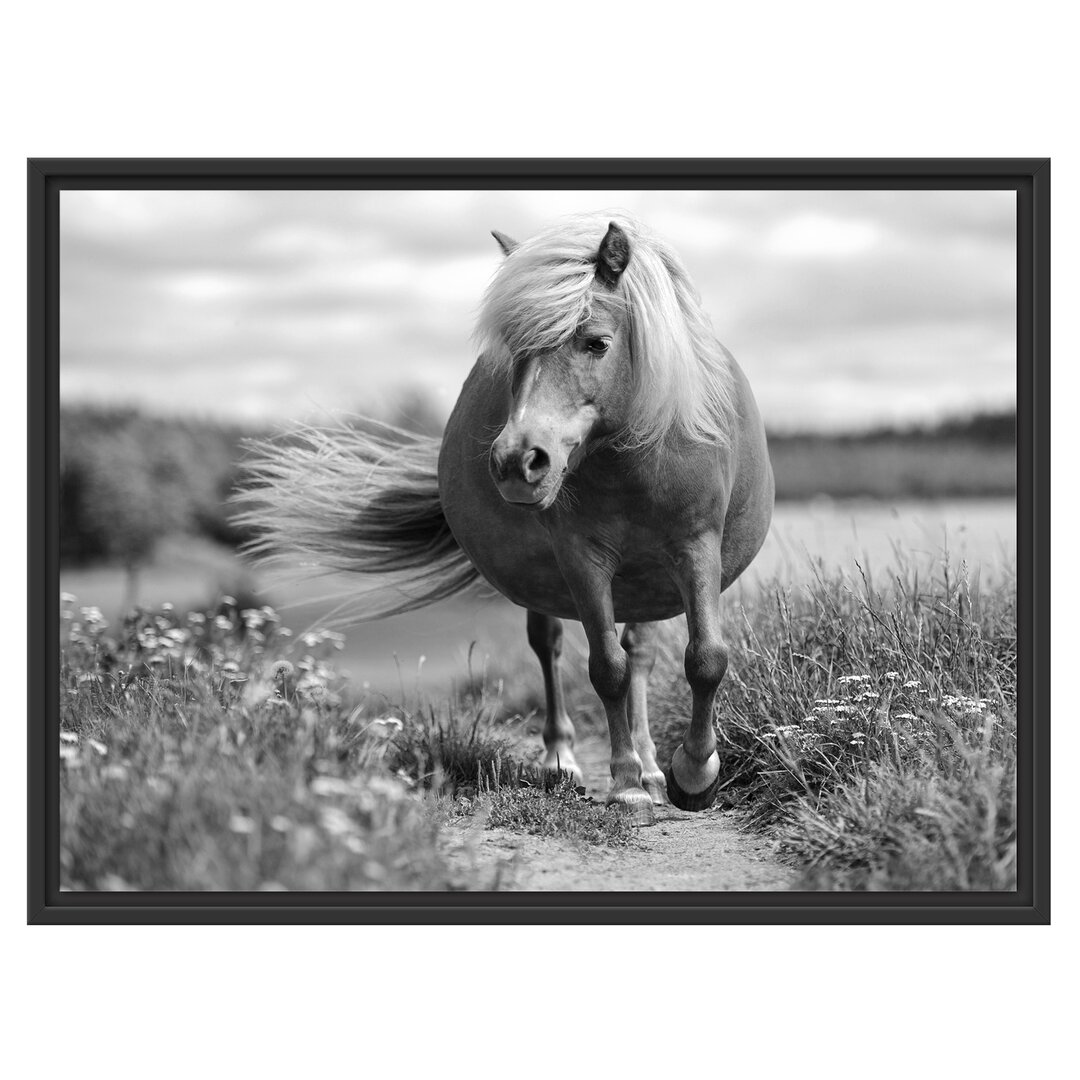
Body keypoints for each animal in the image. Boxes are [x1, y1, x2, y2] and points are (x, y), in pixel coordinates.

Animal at [240, 214, 773, 829]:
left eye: (597, 342)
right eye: (515, 353)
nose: (519, 461)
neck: (636, 456)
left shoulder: (695, 546)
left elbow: (704, 658)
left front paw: (692, 773)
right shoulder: (582, 558)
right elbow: (606, 668)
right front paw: (625, 785)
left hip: (647, 580)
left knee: (639, 652)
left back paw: (652, 766)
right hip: (551, 582)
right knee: (552, 647)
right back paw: (566, 762)